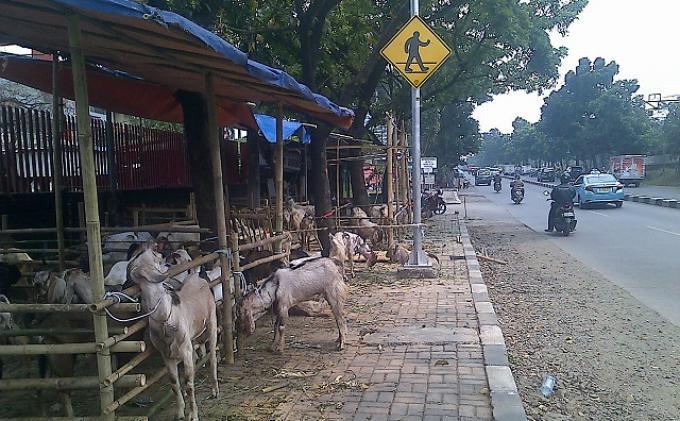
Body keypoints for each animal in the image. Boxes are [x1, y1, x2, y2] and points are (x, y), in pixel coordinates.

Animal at [129, 243, 219, 420]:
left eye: (153, 254)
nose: (150, 244)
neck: (166, 317)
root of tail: (199, 276)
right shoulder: (166, 355)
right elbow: (173, 383)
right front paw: (180, 413)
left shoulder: (185, 351)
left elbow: (188, 384)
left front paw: (193, 415)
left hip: (211, 321)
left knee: (212, 357)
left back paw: (214, 390)